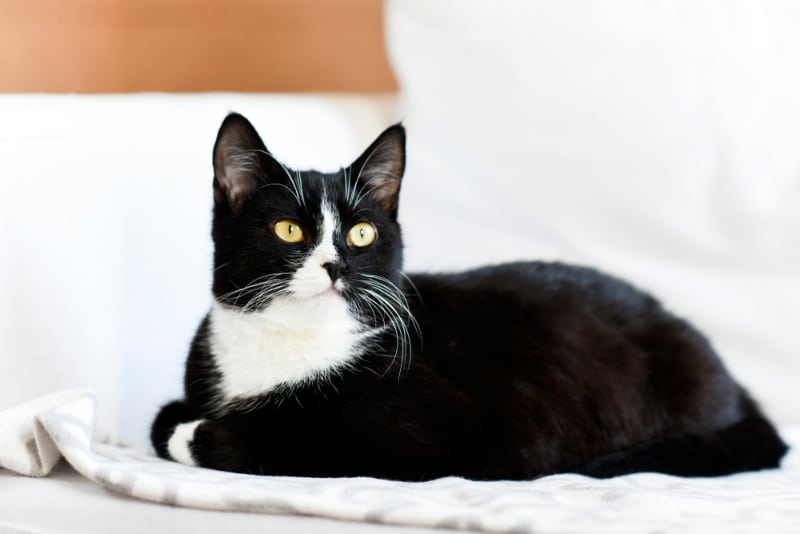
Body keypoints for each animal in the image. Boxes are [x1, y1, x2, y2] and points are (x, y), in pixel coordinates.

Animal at [150, 113, 788, 482]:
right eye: (288, 230)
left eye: (361, 233)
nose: (335, 265)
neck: (286, 340)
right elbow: (163, 416)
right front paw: (184, 422)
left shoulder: (454, 443)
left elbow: (287, 440)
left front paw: (200, 435)